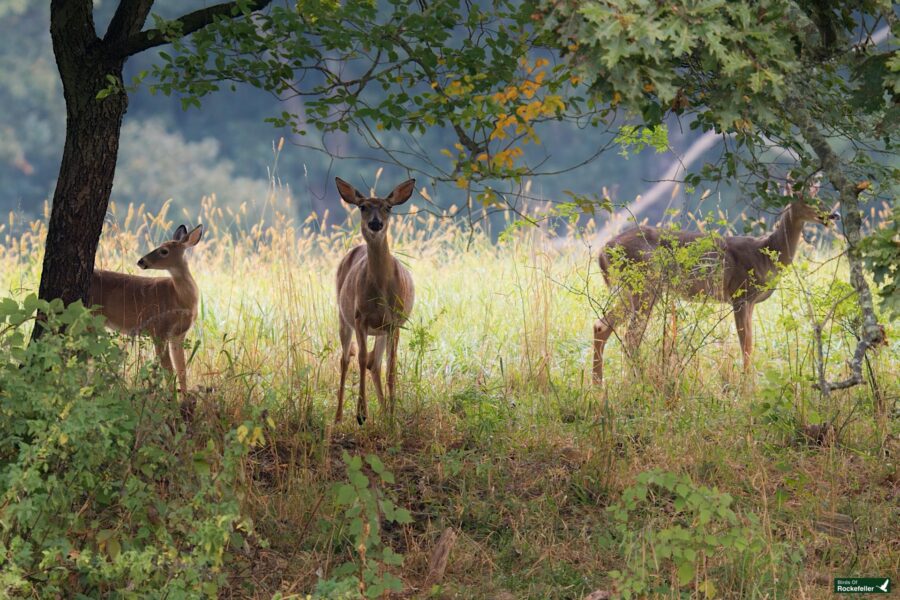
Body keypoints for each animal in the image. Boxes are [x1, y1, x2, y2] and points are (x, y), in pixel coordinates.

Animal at [87, 223, 204, 392]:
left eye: (164, 251)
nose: (141, 261)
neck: (180, 298)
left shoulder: (178, 334)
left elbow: (181, 370)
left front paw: (184, 398)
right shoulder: (158, 329)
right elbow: (168, 370)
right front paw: (172, 398)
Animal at [336, 176, 416, 424]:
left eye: (388, 207)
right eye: (362, 206)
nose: (375, 223)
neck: (381, 289)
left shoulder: (395, 322)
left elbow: (391, 366)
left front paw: (392, 414)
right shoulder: (360, 317)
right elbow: (360, 359)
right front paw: (361, 414)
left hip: (381, 330)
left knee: (375, 362)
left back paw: (384, 412)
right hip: (343, 317)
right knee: (346, 359)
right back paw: (338, 416)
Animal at [596, 182, 840, 384]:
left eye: (820, 197)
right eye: (806, 200)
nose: (834, 214)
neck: (767, 254)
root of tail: (603, 251)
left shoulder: (750, 301)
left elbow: (750, 344)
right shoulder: (740, 294)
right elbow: (746, 344)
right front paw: (746, 387)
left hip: (628, 290)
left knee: (601, 326)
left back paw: (599, 385)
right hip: (645, 284)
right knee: (630, 336)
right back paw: (637, 382)